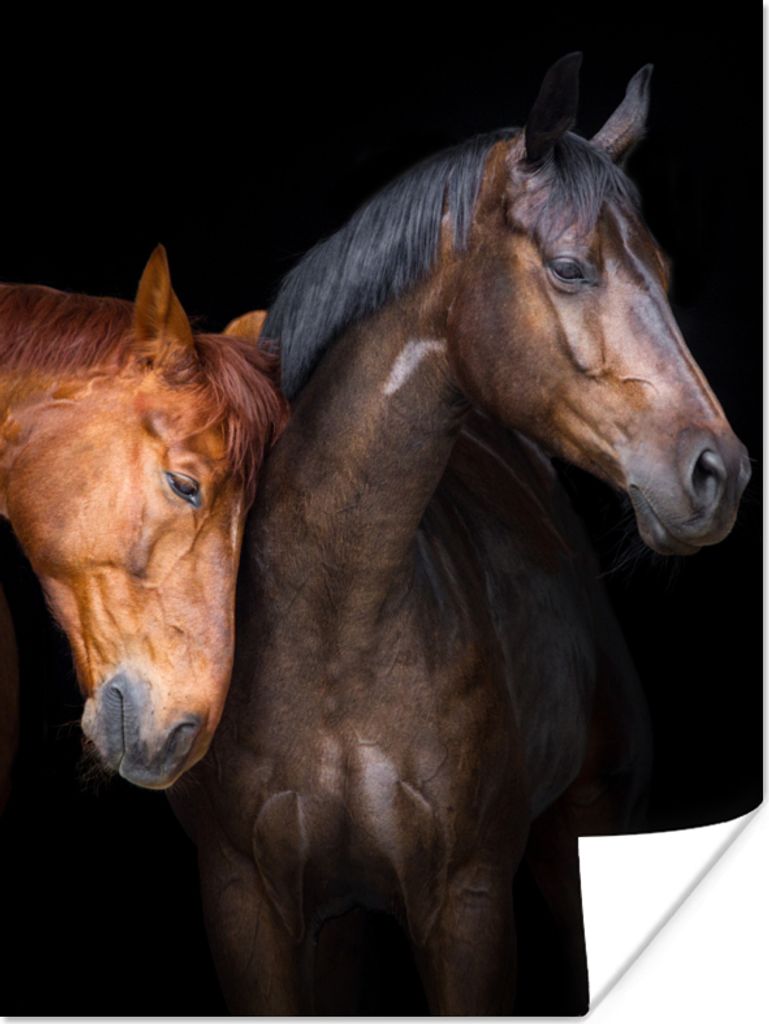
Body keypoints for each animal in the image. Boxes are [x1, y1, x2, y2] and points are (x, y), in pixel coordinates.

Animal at [169, 54, 750, 1014]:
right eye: (569, 267)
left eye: (665, 275)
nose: (720, 474)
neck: (334, 625)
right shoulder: (246, 907)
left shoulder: (468, 905)